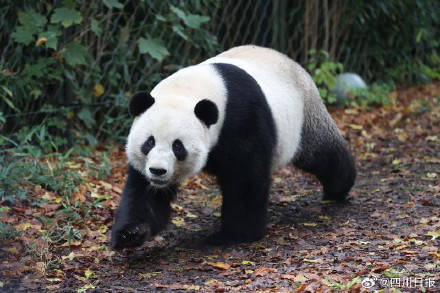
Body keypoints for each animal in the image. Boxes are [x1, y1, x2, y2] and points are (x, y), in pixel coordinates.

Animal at [111, 44, 358, 248]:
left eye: (178, 147)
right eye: (149, 142)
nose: (158, 171)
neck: (190, 91)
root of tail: (295, 64)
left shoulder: (241, 118)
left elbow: (245, 178)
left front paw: (236, 234)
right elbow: (143, 192)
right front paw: (130, 234)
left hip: (304, 116)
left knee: (322, 153)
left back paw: (339, 188)